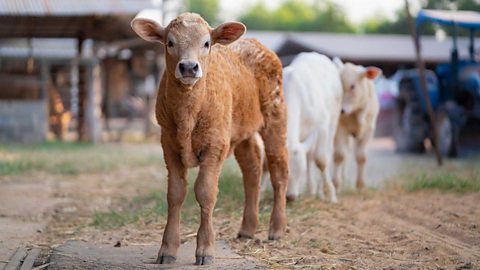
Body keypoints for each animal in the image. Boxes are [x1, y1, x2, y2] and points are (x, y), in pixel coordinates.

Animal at [131, 13, 286, 266]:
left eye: (206, 43)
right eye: (170, 42)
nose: (188, 67)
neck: (188, 115)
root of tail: (257, 44)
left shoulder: (215, 145)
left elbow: (205, 192)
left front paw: (205, 249)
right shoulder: (169, 145)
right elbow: (175, 193)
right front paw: (167, 249)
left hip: (275, 115)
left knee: (278, 170)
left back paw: (277, 229)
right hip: (242, 132)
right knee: (252, 171)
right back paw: (247, 229)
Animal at [264, 52, 344, 202]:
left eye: (300, 171)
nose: (290, 197)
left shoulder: (322, 125)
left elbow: (321, 160)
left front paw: (331, 194)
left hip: (334, 119)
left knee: (323, 153)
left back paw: (320, 191)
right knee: (310, 155)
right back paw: (311, 189)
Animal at [332, 58, 380, 191]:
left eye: (353, 86)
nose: (341, 110)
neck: (355, 113)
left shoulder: (369, 130)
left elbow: (361, 157)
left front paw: (360, 185)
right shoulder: (340, 129)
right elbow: (339, 156)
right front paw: (336, 184)